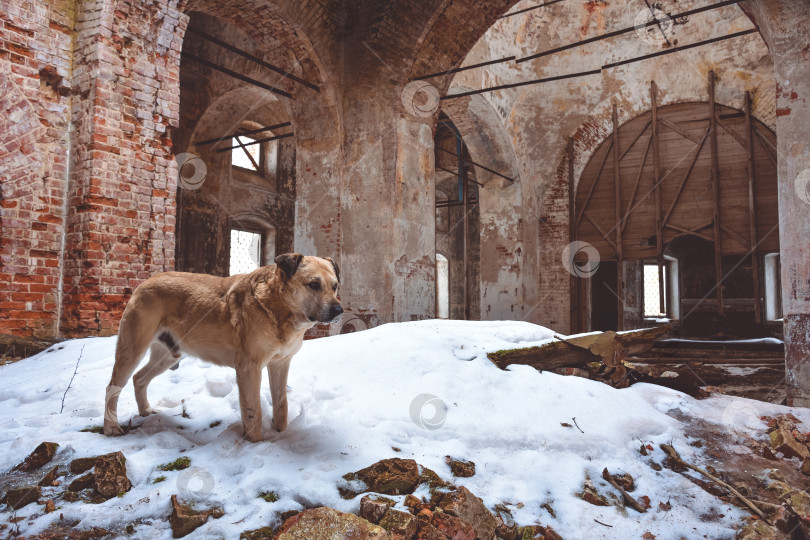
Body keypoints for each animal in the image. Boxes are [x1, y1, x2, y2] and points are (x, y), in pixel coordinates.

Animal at [102, 255, 340, 440]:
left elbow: (282, 405)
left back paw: (145, 411)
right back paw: (111, 427)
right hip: (132, 350)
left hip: (168, 355)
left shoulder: (281, 364)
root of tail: (145, 282)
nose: (339, 310)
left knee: (139, 379)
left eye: (335, 286)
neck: (279, 309)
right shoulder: (249, 368)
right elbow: (253, 411)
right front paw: (256, 443)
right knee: (112, 387)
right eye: (313, 284)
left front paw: (280, 433)